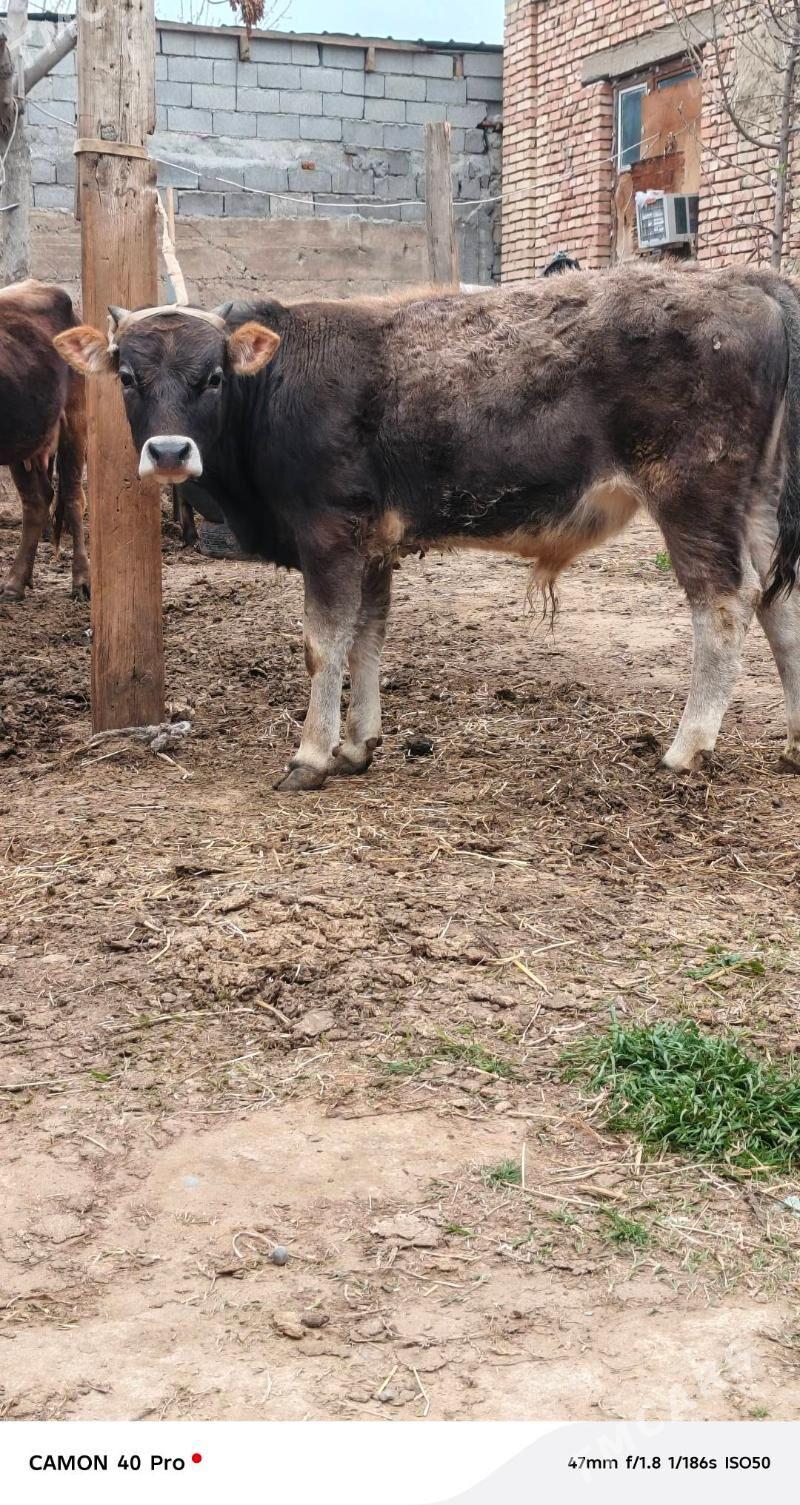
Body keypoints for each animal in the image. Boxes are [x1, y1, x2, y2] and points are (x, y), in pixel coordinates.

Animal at [0, 279, 88, 602]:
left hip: (75, 421)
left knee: (73, 497)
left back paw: (81, 580)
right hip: (23, 442)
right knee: (36, 502)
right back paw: (16, 582)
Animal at [53, 264, 800, 792]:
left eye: (212, 376)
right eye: (127, 374)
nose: (168, 451)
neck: (276, 385)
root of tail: (750, 281)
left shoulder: (328, 534)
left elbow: (324, 645)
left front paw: (311, 754)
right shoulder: (373, 546)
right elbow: (367, 640)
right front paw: (358, 744)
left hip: (694, 497)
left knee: (726, 605)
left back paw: (687, 747)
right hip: (760, 504)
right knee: (780, 606)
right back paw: (794, 742)